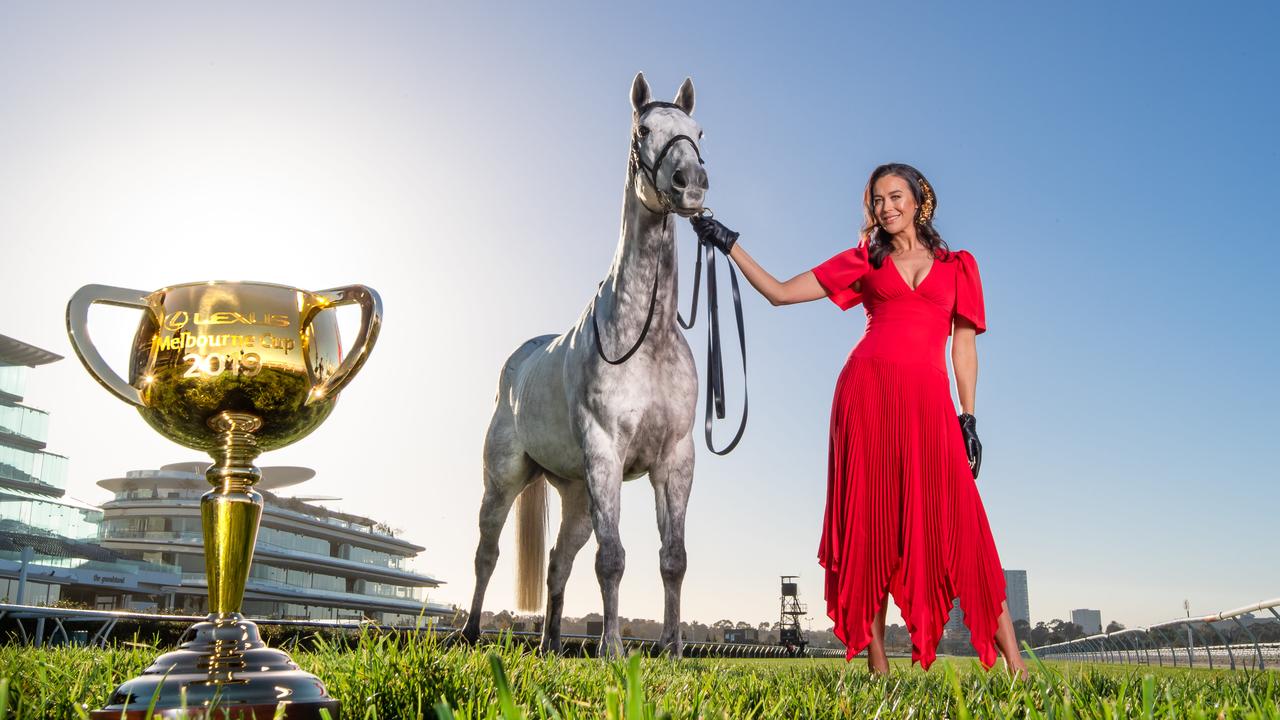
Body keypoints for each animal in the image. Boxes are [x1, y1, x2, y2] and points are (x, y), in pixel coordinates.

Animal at [460, 74, 706, 655]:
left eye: (699, 130)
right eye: (644, 130)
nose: (690, 183)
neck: (646, 340)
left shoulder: (675, 461)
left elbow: (674, 559)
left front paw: (673, 649)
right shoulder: (605, 454)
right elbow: (612, 559)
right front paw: (612, 649)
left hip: (576, 495)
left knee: (558, 562)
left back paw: (550, 644)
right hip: (505, 479)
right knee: (487, 552)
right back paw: (471, 631)